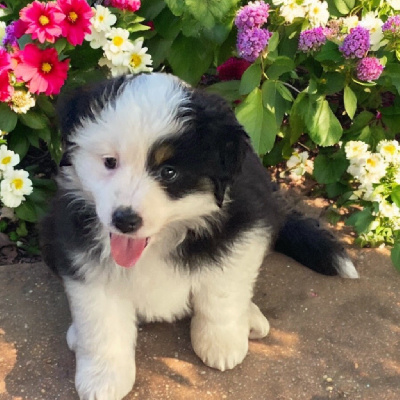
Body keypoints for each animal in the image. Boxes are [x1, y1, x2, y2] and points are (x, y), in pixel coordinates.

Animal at [40, 72, 360, 400]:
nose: (125, 220)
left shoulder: (244, 228)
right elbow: (101, 321)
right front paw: (103, 378)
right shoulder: (79, 249)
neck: (162, 240)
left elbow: (221, 292)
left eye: (169, 172)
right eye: (109, 162)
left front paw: (222, 344)